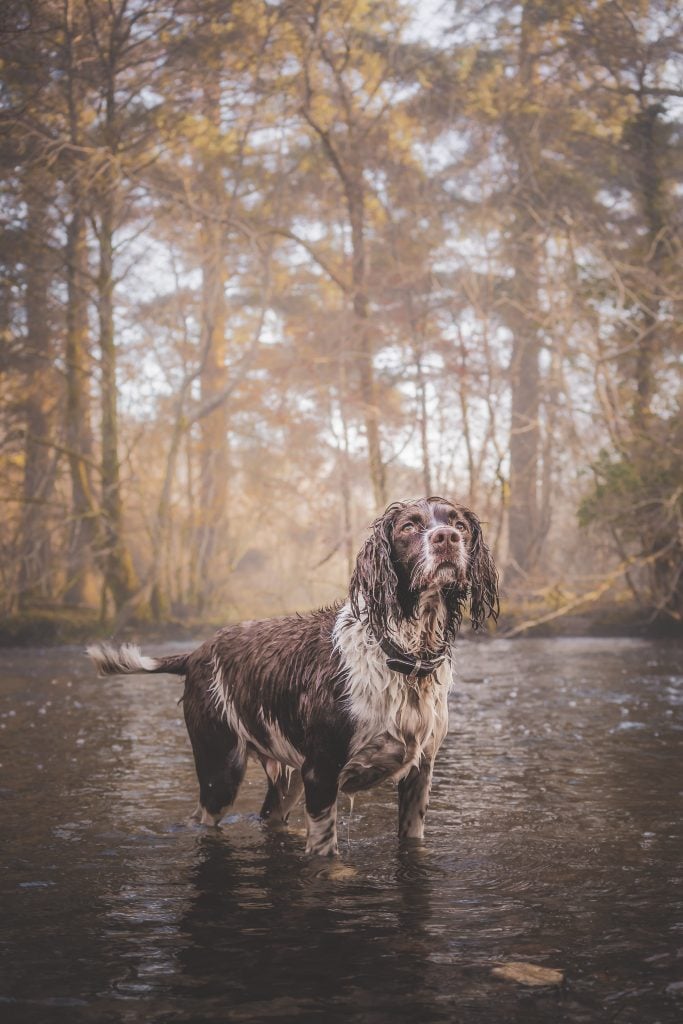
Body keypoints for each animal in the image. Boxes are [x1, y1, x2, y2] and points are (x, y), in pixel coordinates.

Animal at [88, 495, 499, 856]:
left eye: (459, 524)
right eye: (409, 526)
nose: (447, 538)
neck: (400, 654)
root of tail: (195, 653)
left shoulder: (419, 776)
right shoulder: (321, 774)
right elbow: (325, 854)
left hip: (286, 781)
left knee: (268, 815)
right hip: (221, 769)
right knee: (204, 816)